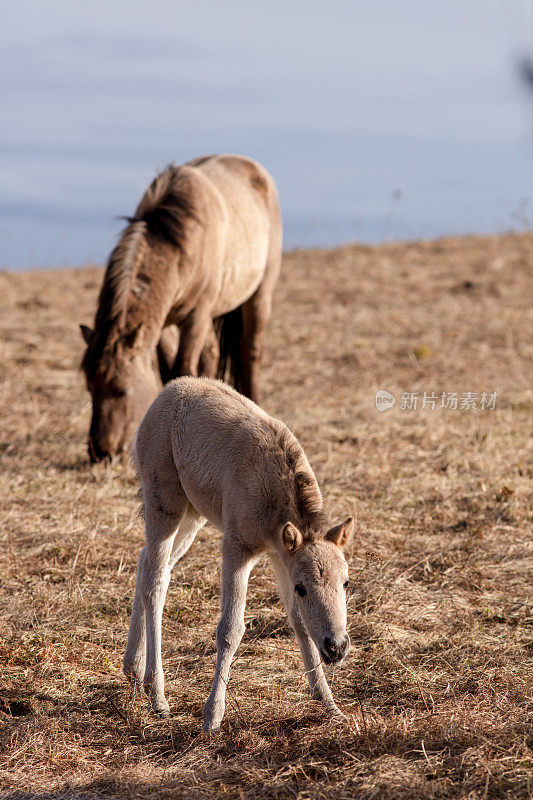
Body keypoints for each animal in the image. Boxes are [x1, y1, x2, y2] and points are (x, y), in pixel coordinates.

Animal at [80, 154, 280, 462]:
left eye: (122, 390)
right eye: (90, 388)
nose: (101, 453)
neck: (180, 241)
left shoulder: (196, 318)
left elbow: (182, 368)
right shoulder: (164, 324)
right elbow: (167, 372)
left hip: (258, 297)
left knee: (250, 352)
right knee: (211, 354)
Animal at [124, 376, 354, 732]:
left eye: (345, 583)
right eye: (302, 588)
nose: (336, 647)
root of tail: (168, 391)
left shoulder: (281, 556)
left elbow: (298, 622)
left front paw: (329, 705)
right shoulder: (237, 548)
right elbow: (230, 629)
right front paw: (212, 717)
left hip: (193, 514)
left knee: (145, 561)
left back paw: (132, 670)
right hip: (164, 502)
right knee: (155, 579)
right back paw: (157, 696)